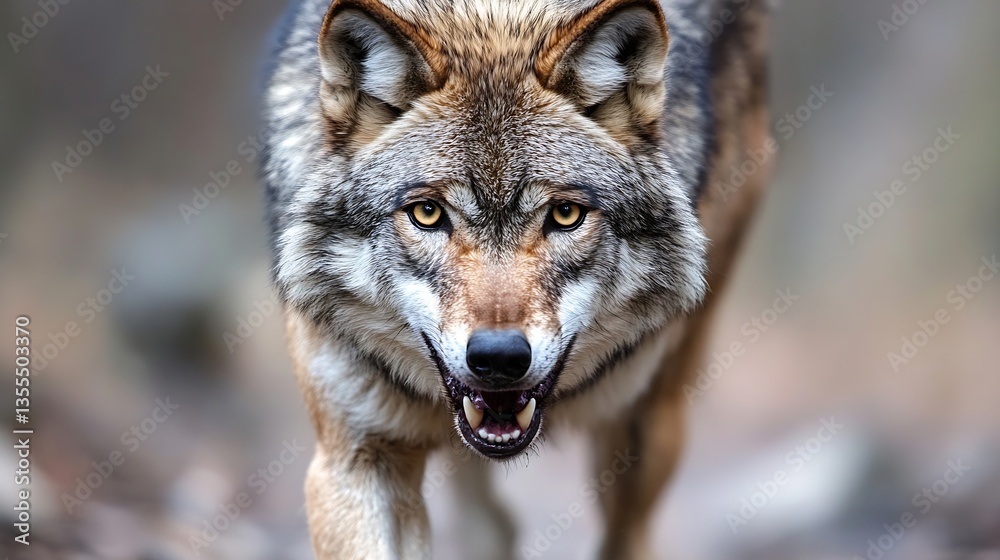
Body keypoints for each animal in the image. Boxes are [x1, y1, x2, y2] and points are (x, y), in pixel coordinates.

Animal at [262, 0, 770, 557]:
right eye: (427, 213)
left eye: (566, 215)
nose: (499, 358)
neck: (493, 23)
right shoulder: (355, 457)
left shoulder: (638, 427)